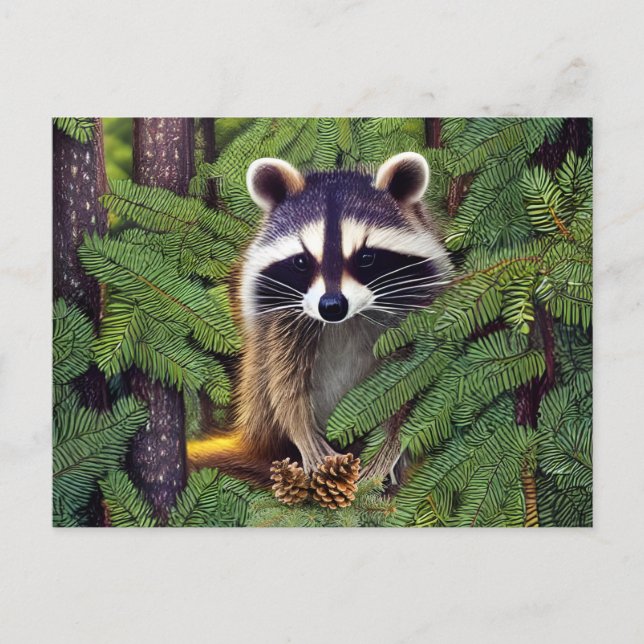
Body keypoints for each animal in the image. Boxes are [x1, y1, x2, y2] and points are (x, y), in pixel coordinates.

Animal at [187, 152, 452, 484]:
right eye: (302, 261)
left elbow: (407, 382)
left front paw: (388, 449)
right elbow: (283, 379)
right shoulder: (282, 315)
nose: (332, 306)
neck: (346, 321)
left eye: (366, 258)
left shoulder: (414, 310)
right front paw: (303, 433)